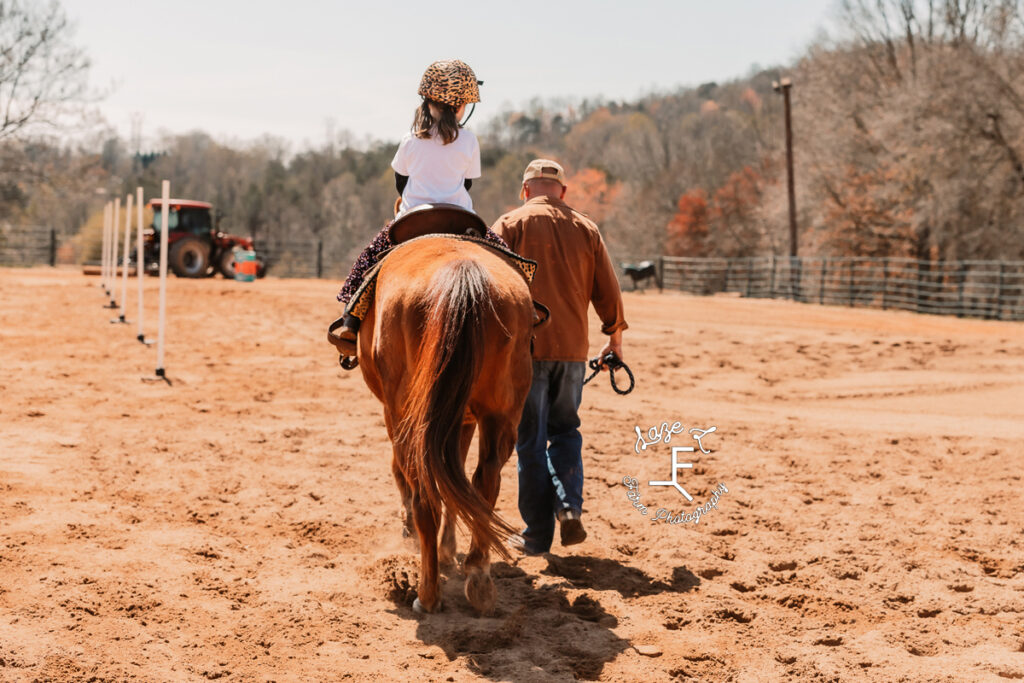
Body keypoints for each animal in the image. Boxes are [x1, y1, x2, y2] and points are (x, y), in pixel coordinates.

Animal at [358, 235, 536, 614]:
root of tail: (462, 274)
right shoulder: (461, 421)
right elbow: (457, 483)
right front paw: (450, 550)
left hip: (409, 418)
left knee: (426, 496)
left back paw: (427, 594)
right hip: (500, 415)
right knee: (484, 481)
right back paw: (478, 576)